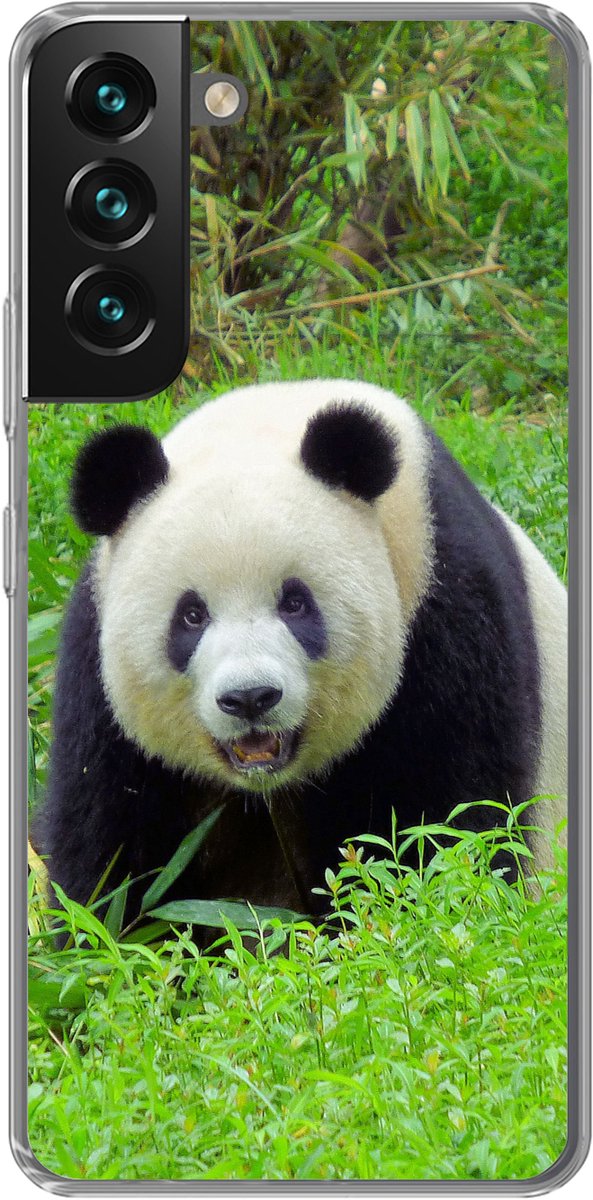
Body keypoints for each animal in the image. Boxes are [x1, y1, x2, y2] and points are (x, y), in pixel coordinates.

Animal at [39, 379, 567, 921]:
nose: (250, 698)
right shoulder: (96, 669)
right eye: (191, 615)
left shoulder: (446, 608)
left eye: (295, 603)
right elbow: (110, 847)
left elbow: (454, 818)